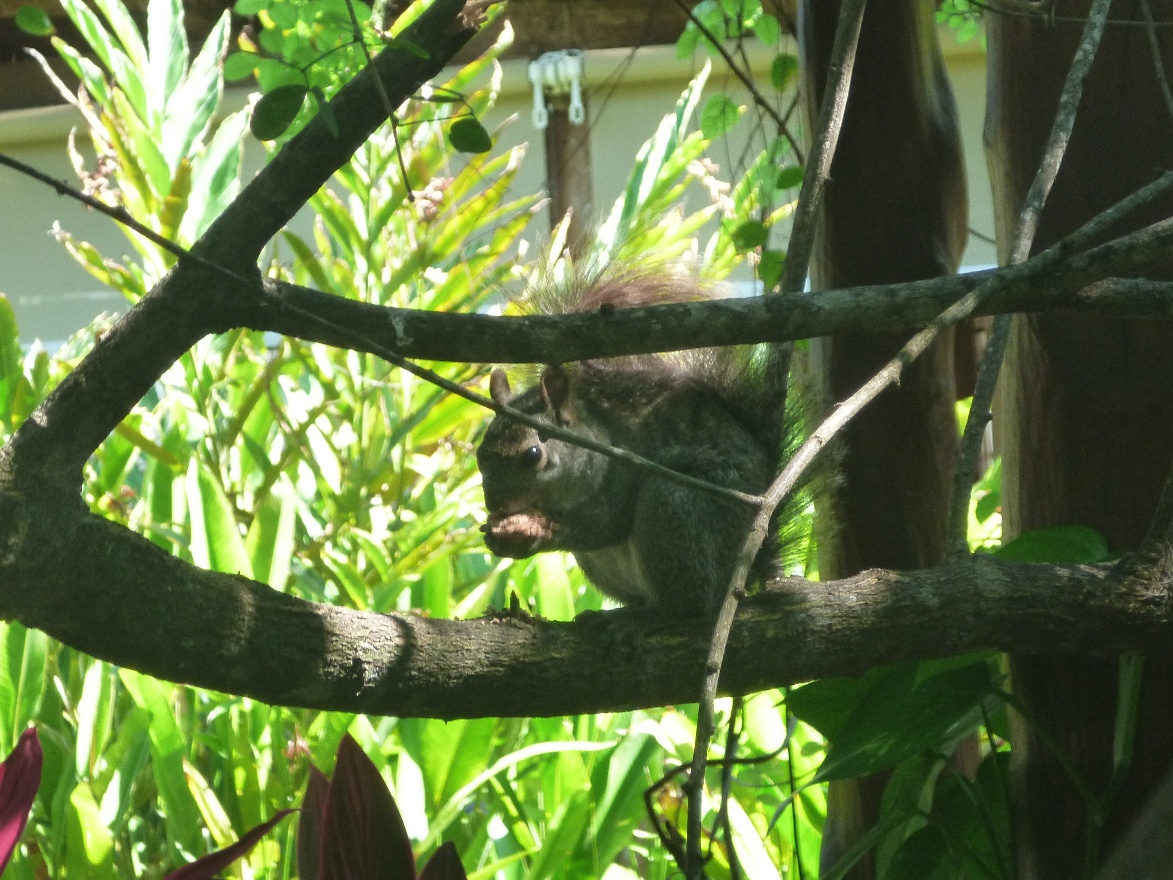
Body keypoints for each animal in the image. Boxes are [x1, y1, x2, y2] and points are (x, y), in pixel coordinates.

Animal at [475, 265, 790, 614]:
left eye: (532, 455)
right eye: (479, 456)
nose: (495, 505)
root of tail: (746, 572)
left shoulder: (622, 466)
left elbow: (606, 522)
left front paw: (533, 529)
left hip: (675, 503)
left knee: (695, 598)